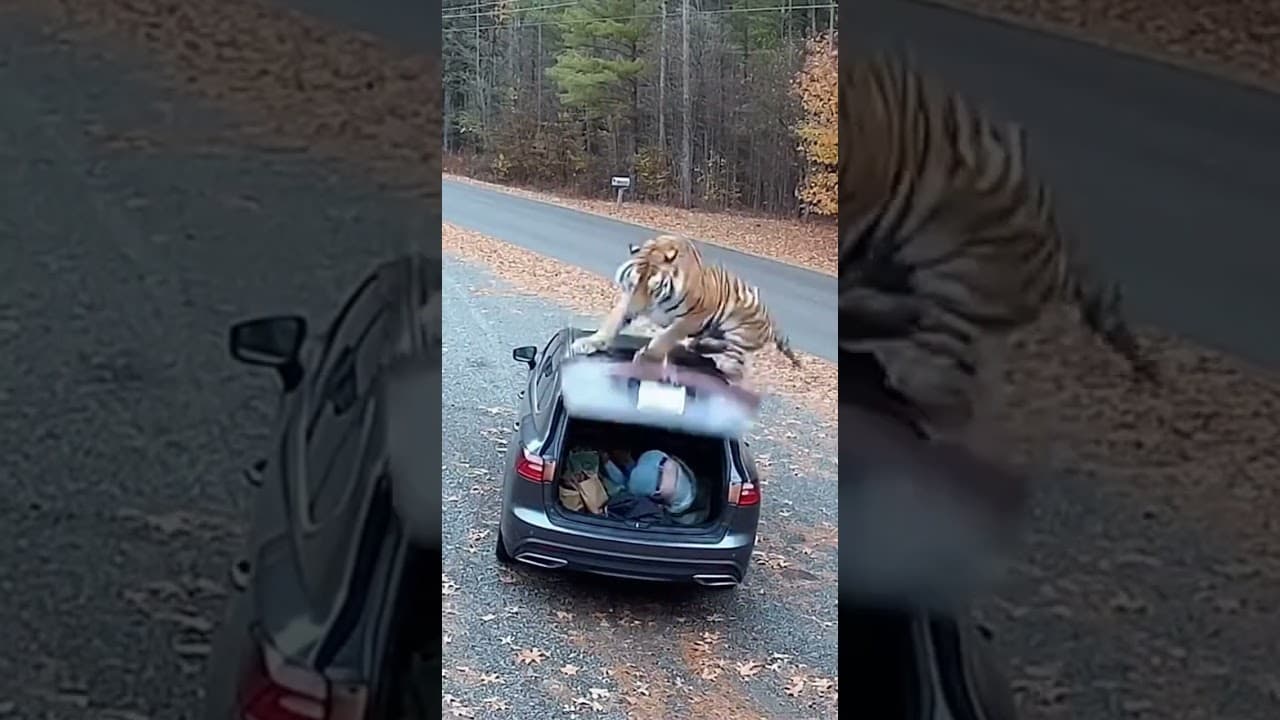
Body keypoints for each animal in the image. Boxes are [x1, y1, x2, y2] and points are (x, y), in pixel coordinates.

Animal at [570, 234, 802, 382]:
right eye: (634, 284)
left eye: (653, 288)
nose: (637, 312)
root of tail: (772, 321)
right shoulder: (627, 299)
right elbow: (612, 323)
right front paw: (589, 342)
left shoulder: (695, 316)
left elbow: (667, 337)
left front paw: (647, 358)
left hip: (739, 333)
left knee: (737, 365)